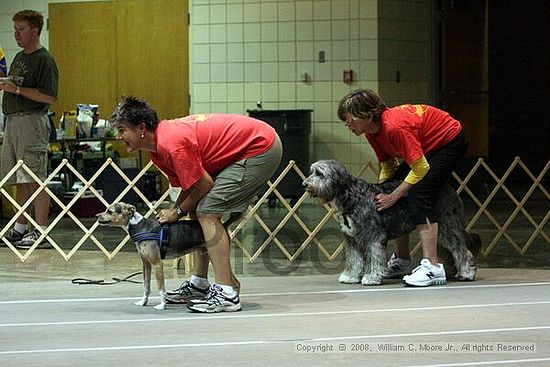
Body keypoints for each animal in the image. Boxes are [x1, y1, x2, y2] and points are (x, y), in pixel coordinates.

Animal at [96, 204, 242, 310]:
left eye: (110, 211)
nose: (97, 216)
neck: (139, 226)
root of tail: (223, 225)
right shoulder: (146, 264)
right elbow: (146, 287)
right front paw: (143, 302)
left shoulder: (157, 264)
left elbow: (161, 289)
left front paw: (162, 305)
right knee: (235, 282)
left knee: (235, 282)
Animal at [304, 160, 480, 286]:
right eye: (312, 171)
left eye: (320, 173)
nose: (304, 184)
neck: (351, 197)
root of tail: (450, 189)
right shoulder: (351, 238)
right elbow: (354, 260)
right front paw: (350, 276)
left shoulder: (374, 236)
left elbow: (374, 258)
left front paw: (371, 277)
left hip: (446, 228)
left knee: (462, 250)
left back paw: (467, 272)